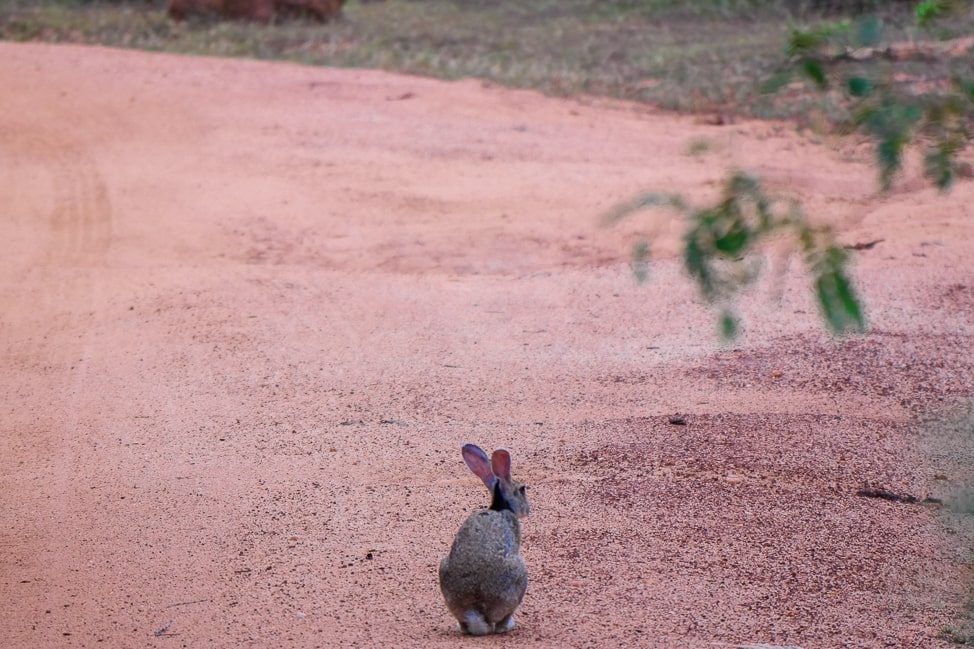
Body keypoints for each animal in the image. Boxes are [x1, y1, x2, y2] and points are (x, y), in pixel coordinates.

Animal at [438, 443, 531, 635]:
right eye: (522, 489)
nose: (528, 510)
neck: (500, 507)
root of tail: (475, 612)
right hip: (519, 575)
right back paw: (509, 625)